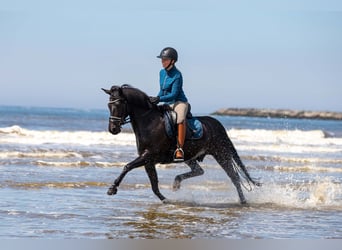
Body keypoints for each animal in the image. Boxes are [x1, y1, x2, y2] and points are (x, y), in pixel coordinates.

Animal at [101, 85, 260, 204]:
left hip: (221, 154)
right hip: (191, 157)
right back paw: (176, 183)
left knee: (234, 177)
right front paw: (166, 200)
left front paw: (112, 188)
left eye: (119, 104)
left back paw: (243, 201)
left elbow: (127, 166)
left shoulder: (149, 155)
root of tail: (218, 124)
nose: (113, 129)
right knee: (200, 171)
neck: (149, 122)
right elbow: (154, 184)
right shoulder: (148, 160)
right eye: (109, 105)